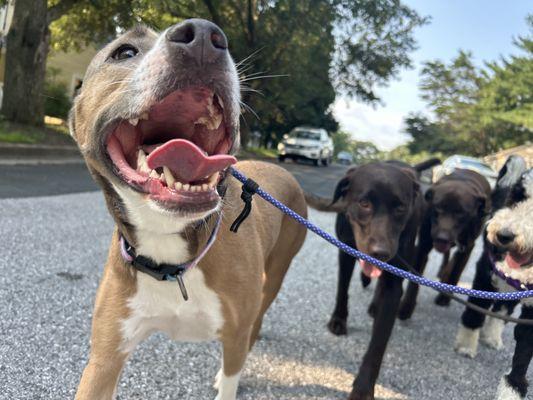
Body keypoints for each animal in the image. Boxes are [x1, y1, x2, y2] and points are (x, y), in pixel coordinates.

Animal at [68, 20, 306, 398]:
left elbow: (233, 370)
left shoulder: (235, 333)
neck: (170, 256)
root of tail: (285, 170)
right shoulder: (105, 358)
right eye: (124, 52)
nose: (204, 38)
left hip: (276, 273)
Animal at [306, 159, 438, 400]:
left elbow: (378, 344)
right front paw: (338, 320)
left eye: (400, 207)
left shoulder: (395, 281)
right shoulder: (346, 251)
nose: (381, 253)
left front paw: (363, 389)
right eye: (364, 203)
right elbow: (342, 289)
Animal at [400, 166, 490, 318]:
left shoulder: (467, 248)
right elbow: (415, 280)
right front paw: (406, 307)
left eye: (461, 214)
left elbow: (455, 273)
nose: (442, 238)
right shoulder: (424, 245)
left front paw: (444, 297)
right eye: (437, 209)